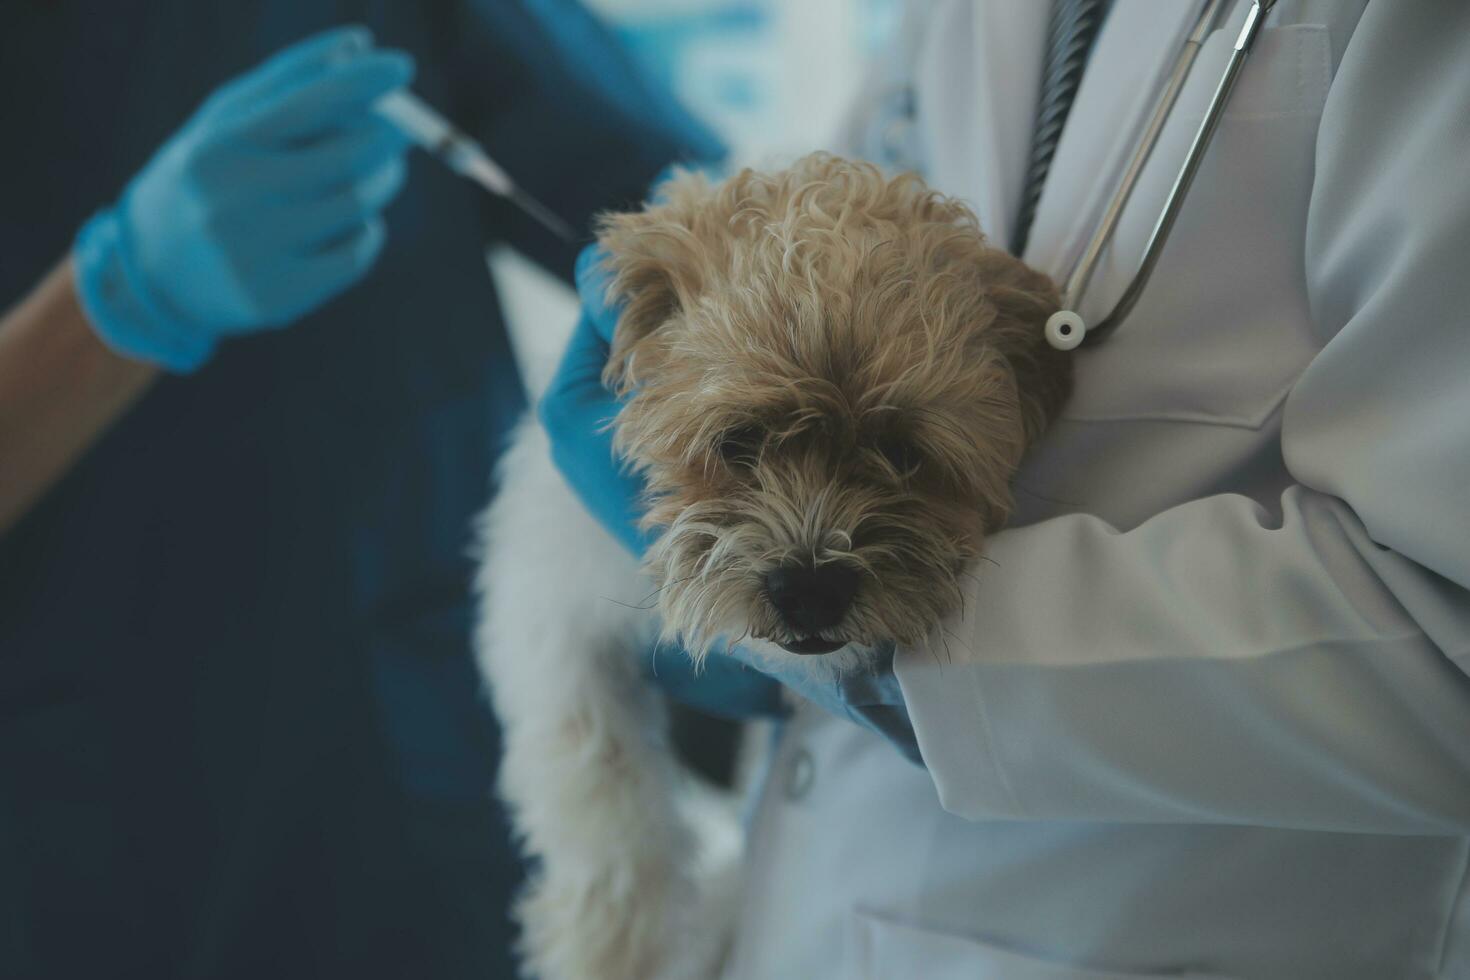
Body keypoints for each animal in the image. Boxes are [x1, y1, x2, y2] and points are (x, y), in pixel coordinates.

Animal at [476, 155, 1076, 980]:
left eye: (902, 452)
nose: (812, 589)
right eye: (739, 442)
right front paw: (612, 949)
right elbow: (597, 779)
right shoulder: (546, 599)